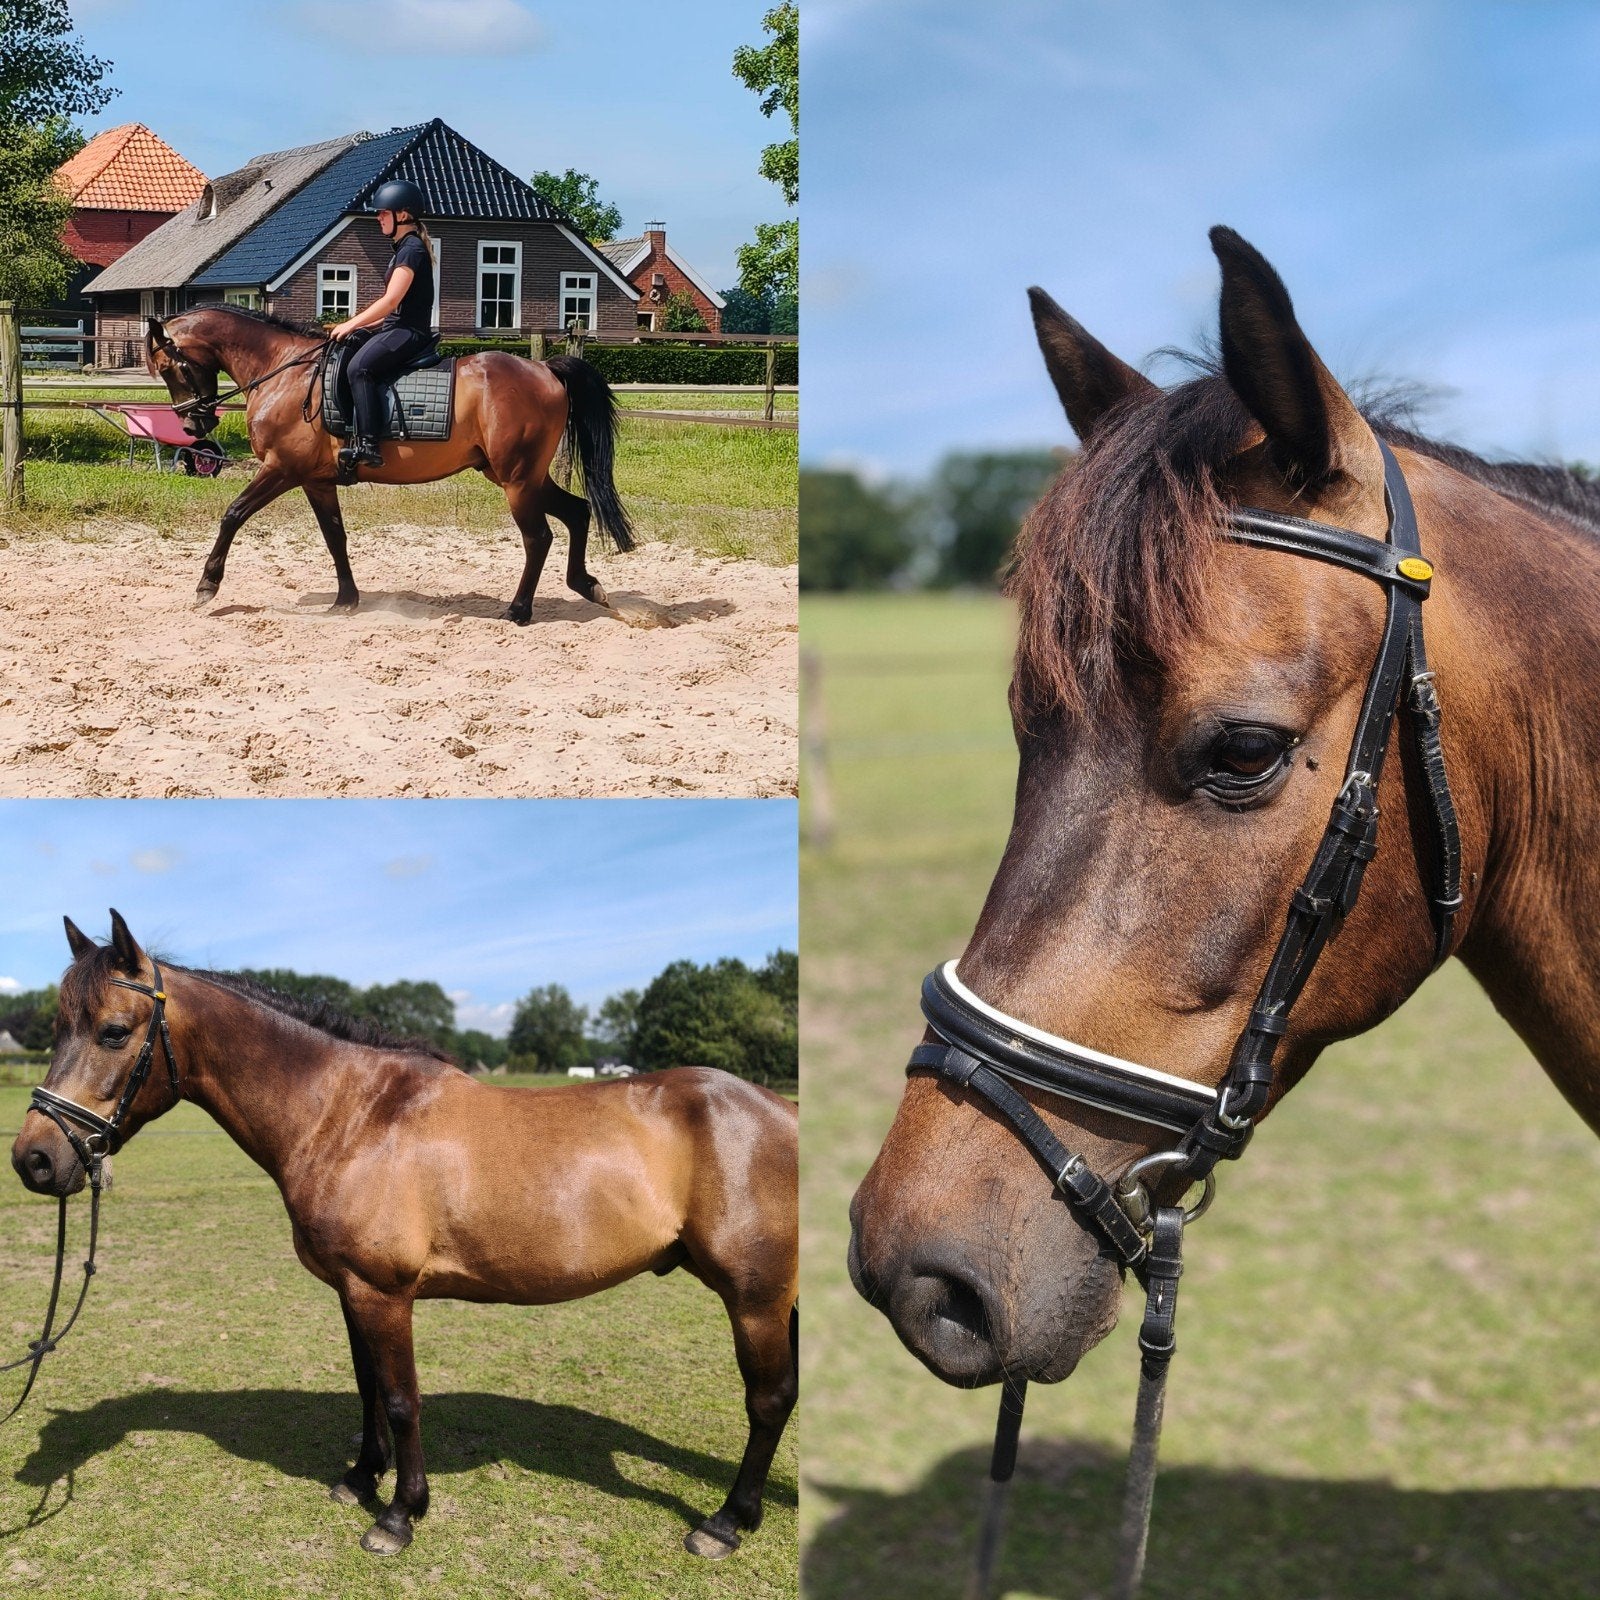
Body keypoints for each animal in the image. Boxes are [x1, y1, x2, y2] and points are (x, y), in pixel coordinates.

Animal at [11, 911, 798, 1561]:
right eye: (54, 1030)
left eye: (114, 1031)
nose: (34, 1159)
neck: (353, 1116)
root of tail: (781, 1109)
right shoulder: (352, 1291)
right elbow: (366, 1388)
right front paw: (361, 1479)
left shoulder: (384, 1293)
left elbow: (398, 1398)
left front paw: (398, 1516)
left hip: (756, 1297)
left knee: (768, 1402)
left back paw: (725, 1524)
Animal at [143, 306, 634, 624]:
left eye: (169, 368)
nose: (193, 423)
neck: (285, 372)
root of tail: (546, 369)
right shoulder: (316, 481)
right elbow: (335, 538)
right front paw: (346, 600)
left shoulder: (281, 470)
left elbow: (233, 515)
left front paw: (207, 586)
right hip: (520, 477)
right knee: (578, 512)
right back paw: (586, 585)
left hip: (517, 481)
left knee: (539, 538)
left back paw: (519, 610)